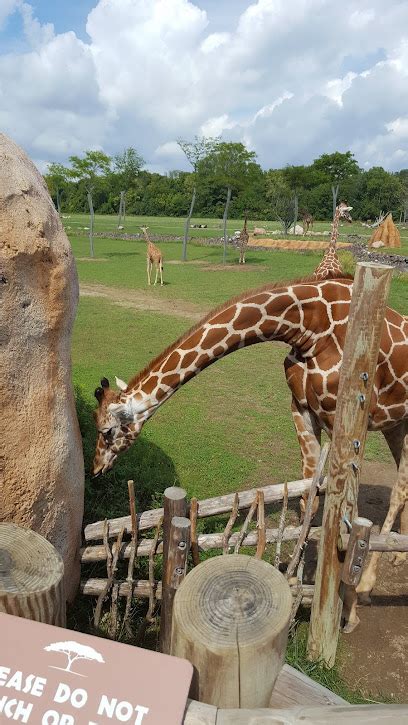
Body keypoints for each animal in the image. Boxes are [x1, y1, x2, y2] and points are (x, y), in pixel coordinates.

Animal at [92, 272, 408, 612]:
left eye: (106, 431)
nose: (95, 469)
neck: (308, 327)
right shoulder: (301, 408)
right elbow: (308, 497)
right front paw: (294, 583)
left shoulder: (347, 415)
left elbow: (349, 506)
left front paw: (348, 604)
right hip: (396, 423)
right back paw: (398, 556)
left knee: (398, 489)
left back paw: (367, 584)